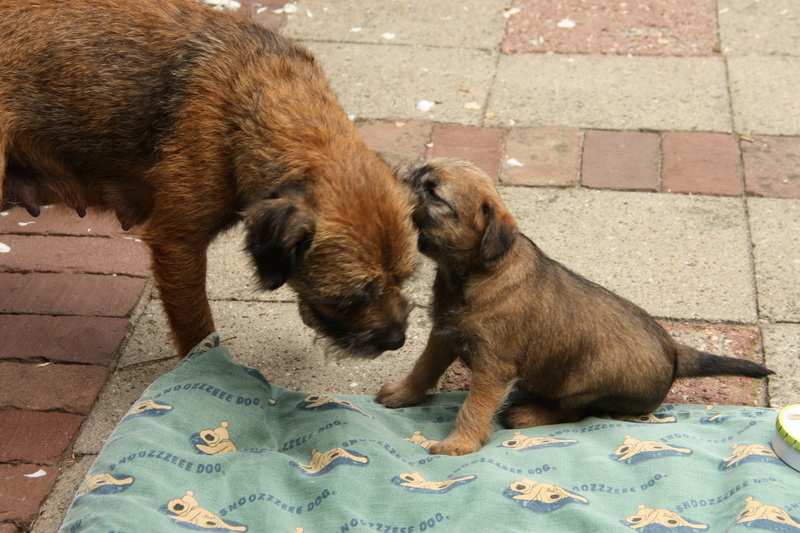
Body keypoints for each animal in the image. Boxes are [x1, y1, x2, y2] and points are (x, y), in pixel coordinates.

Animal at [0, 0, 417, 356]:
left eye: (406, 277)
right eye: (349, 298)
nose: (397, 340)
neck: (249, 100)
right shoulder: (176, 244)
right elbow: (196, 327)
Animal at [377, 158, 773, 456]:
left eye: (433, 192)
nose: (392, 175)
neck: (471, 275)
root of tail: (676, 352)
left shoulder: (493, 367)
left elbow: (474, 406)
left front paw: (460, 443)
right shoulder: (443, 336)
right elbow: (423, 368)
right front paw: (404, 393)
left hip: (585, 374)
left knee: (577, 411)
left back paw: (527, 414)